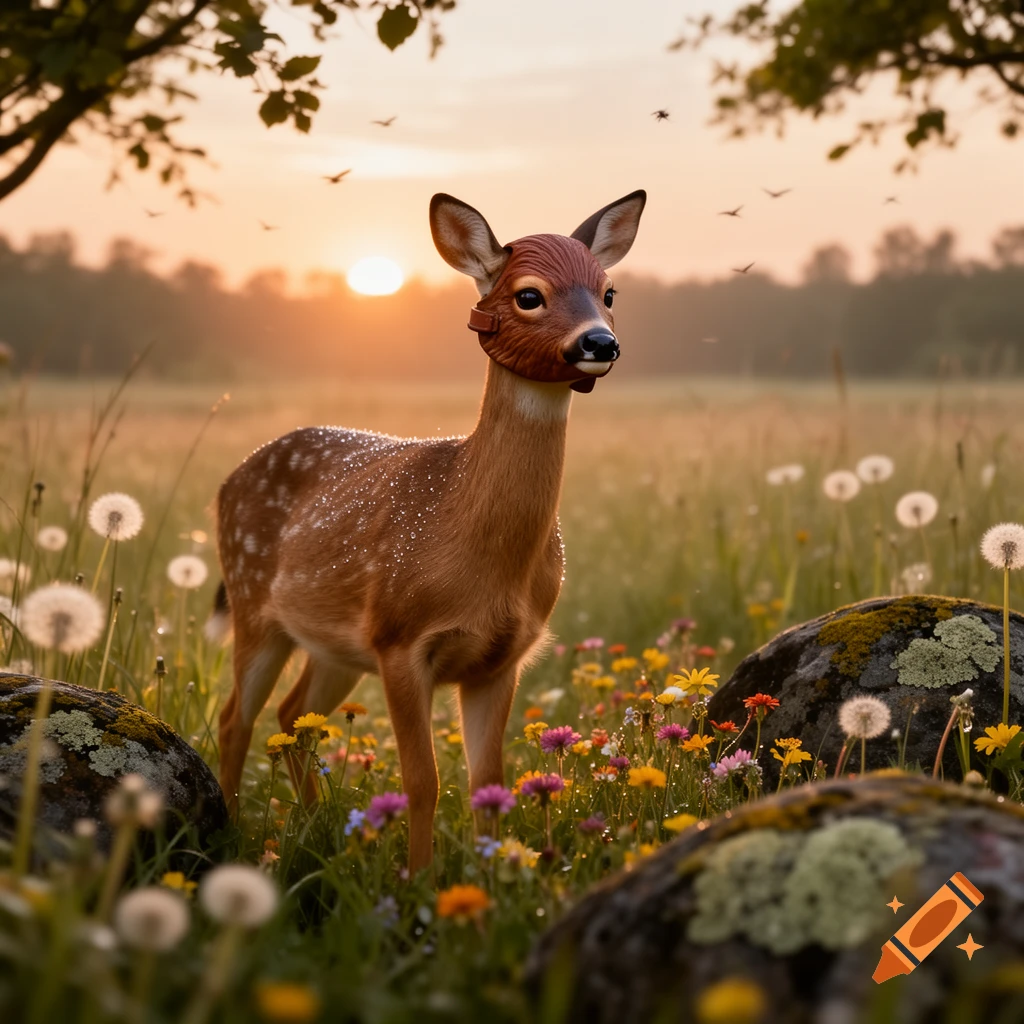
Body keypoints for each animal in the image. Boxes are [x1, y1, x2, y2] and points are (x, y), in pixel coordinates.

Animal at [209, 189, 646, 872]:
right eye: (528, 294)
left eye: (608, 291)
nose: (601, 342)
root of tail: (231, 477)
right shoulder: (400, 638)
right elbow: (423, 780)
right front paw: (417, 879)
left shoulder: (501, 657)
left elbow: (487, 779)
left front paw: (490, 876)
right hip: (255, 604)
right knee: (237, 719)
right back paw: (234, 836)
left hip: (334, 645)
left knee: (293, 716)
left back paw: (320, 830)